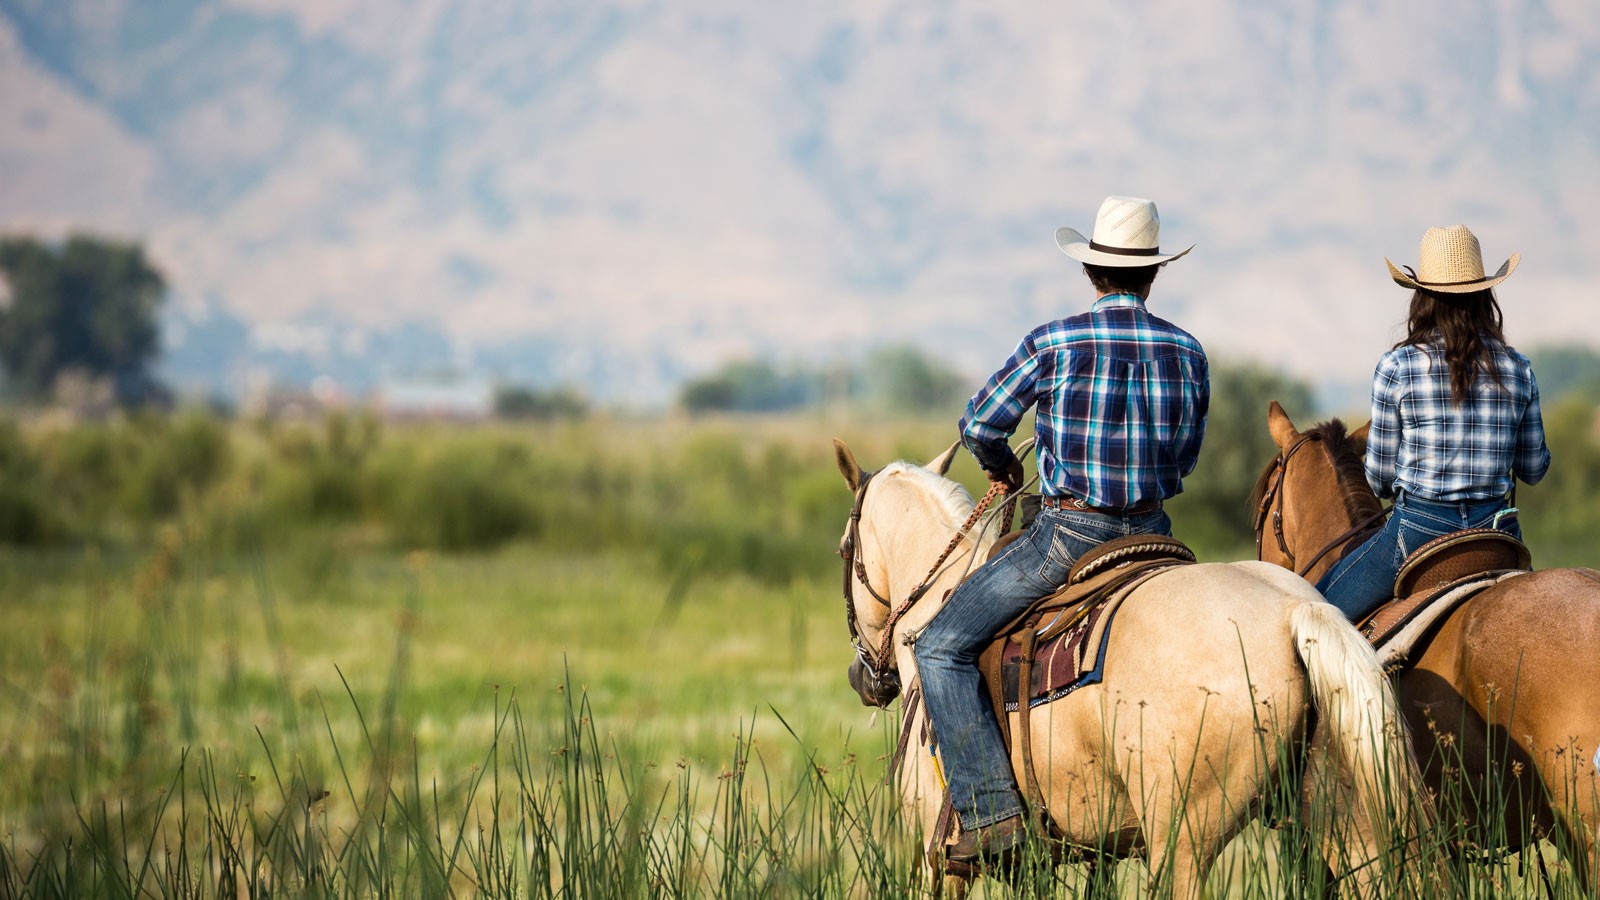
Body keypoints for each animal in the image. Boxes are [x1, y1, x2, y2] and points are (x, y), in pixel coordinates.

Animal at [834, 438, 1437, 898]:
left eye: (844, 549)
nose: (862, 680)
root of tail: (1295, 613)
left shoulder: (935, 859)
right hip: (1347, 822)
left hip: (1183, 842)